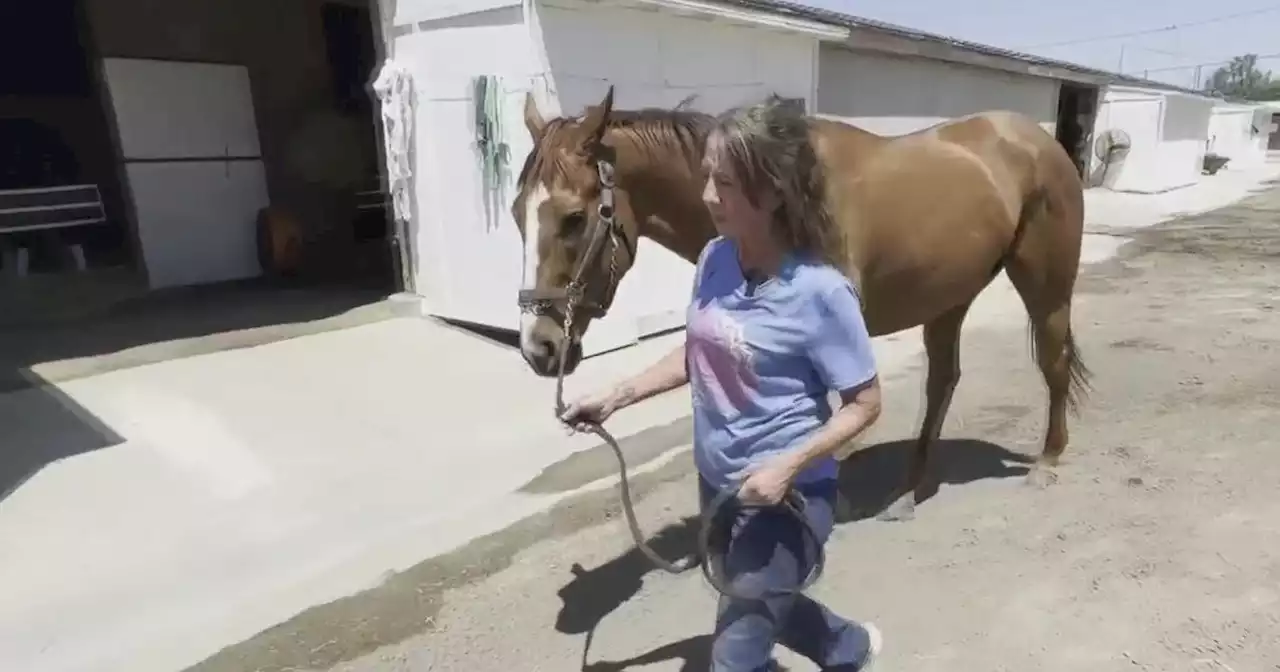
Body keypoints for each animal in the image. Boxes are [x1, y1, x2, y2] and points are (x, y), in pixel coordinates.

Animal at [509, 87, 1090, 519]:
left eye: (574, 218)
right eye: (517, 213)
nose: (539, 347)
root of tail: (1041, 140)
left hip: (1045, 289)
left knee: (1054, 363)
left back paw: (1048, 459)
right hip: (948, 296)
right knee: (943, 381)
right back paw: (910, 489)